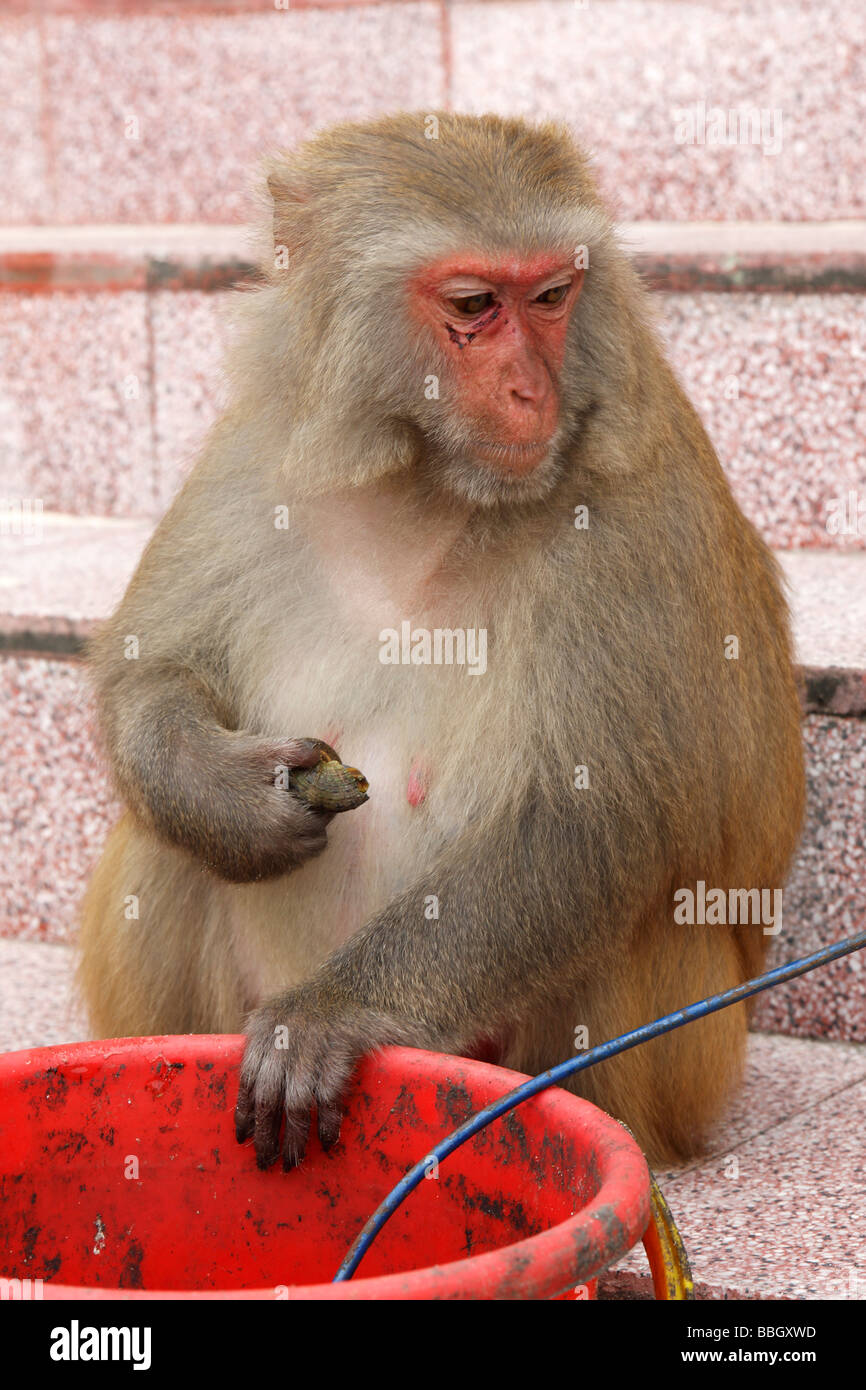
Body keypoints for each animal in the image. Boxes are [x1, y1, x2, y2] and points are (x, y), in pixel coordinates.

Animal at [81, 113, 806, 1167]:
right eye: (474, 305)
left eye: (551, 297)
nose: (532, 391)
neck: (421, 486)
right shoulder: (259, 445)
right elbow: (156, 674)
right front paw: (225, 796)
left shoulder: (636, 514)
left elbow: (591, 814)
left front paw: (335, 1015)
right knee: (163, 842)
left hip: (679, 1055)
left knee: (632, 903)